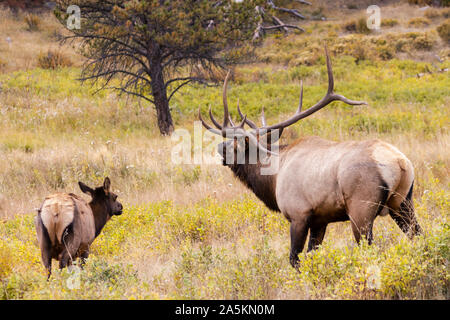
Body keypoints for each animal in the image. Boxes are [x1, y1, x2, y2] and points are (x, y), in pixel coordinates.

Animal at [199, 48, 424, 270]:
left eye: (235, 143)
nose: (219, 149)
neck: (273, 177)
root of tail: (400, 163)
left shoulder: (299, 214)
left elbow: (294, 259)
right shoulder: (320, 220)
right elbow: (312, 254)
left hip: (361, 209)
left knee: (370, 249)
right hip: (403, 202)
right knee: (418, 234)